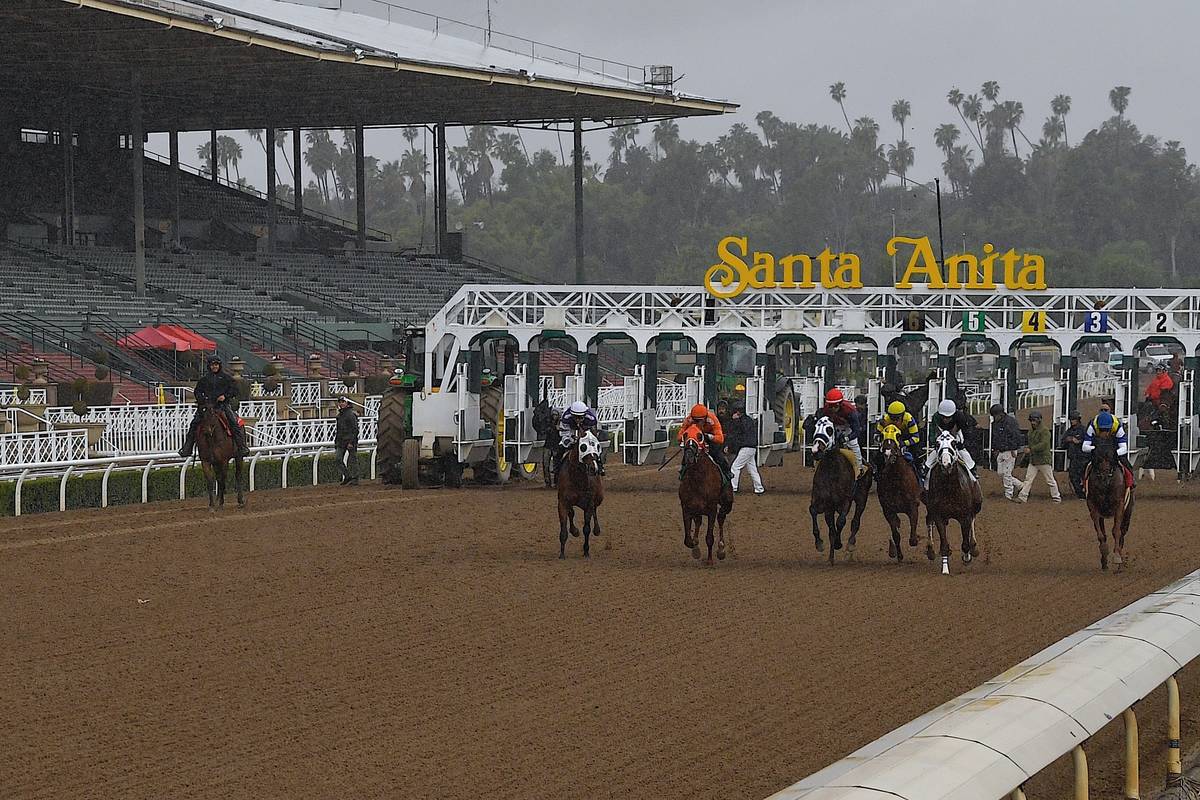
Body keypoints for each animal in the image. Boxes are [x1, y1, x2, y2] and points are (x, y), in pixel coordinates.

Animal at [681, 429, 734, 566]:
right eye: (685, 435)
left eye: (700, 436)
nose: (689, 455)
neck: (698, 480)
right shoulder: (686, 508)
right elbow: (688, 540)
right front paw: (695, 547)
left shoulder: (712, 509)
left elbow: (709, 537)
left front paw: (710, 559)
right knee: (699, 521)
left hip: (727, 503)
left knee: (721, 518)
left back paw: (721, 549)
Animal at [806, 412, 873, 563]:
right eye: (815, 427)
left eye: (830, 430)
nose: (815, 451)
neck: (832, 469)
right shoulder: (823, 502)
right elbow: (813, 511)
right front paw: (819, 543)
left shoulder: (845, 501)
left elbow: (841, 521)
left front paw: (838, 543)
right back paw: (831, 558)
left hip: (862, 498)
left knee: (855, 521)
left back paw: (850, 545)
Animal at [873, 424, 916, 563]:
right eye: (883, 437)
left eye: (898, 436)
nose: (888, 454)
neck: (896, 479)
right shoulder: (888, 510)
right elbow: (896, 534)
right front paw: (898, 555)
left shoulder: (912, 506)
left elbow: (913, 533)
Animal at [921, 431, 979, 575]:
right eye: (937, 444)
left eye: (954, 443)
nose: (946, 463)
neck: (949, 488)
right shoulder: (939, 515)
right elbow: (944, 544)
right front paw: (945, 568)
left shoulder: (964, 516)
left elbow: (965, 543)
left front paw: (967, 557)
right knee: (928, 520)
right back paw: (930, 550)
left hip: (976, 506)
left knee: (973, 519)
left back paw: (974, 547)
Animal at [1089, 434, 1132, 573]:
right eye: (1097, 456)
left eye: (1111, 456)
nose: (1104, 477)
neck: (1106, 486)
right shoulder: (1093, 505)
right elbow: (1101, 534)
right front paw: (1104, 552)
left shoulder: (1119, 505)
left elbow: (1116, 531)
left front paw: (1117, 557)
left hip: (1128, 512)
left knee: (1123, 532)